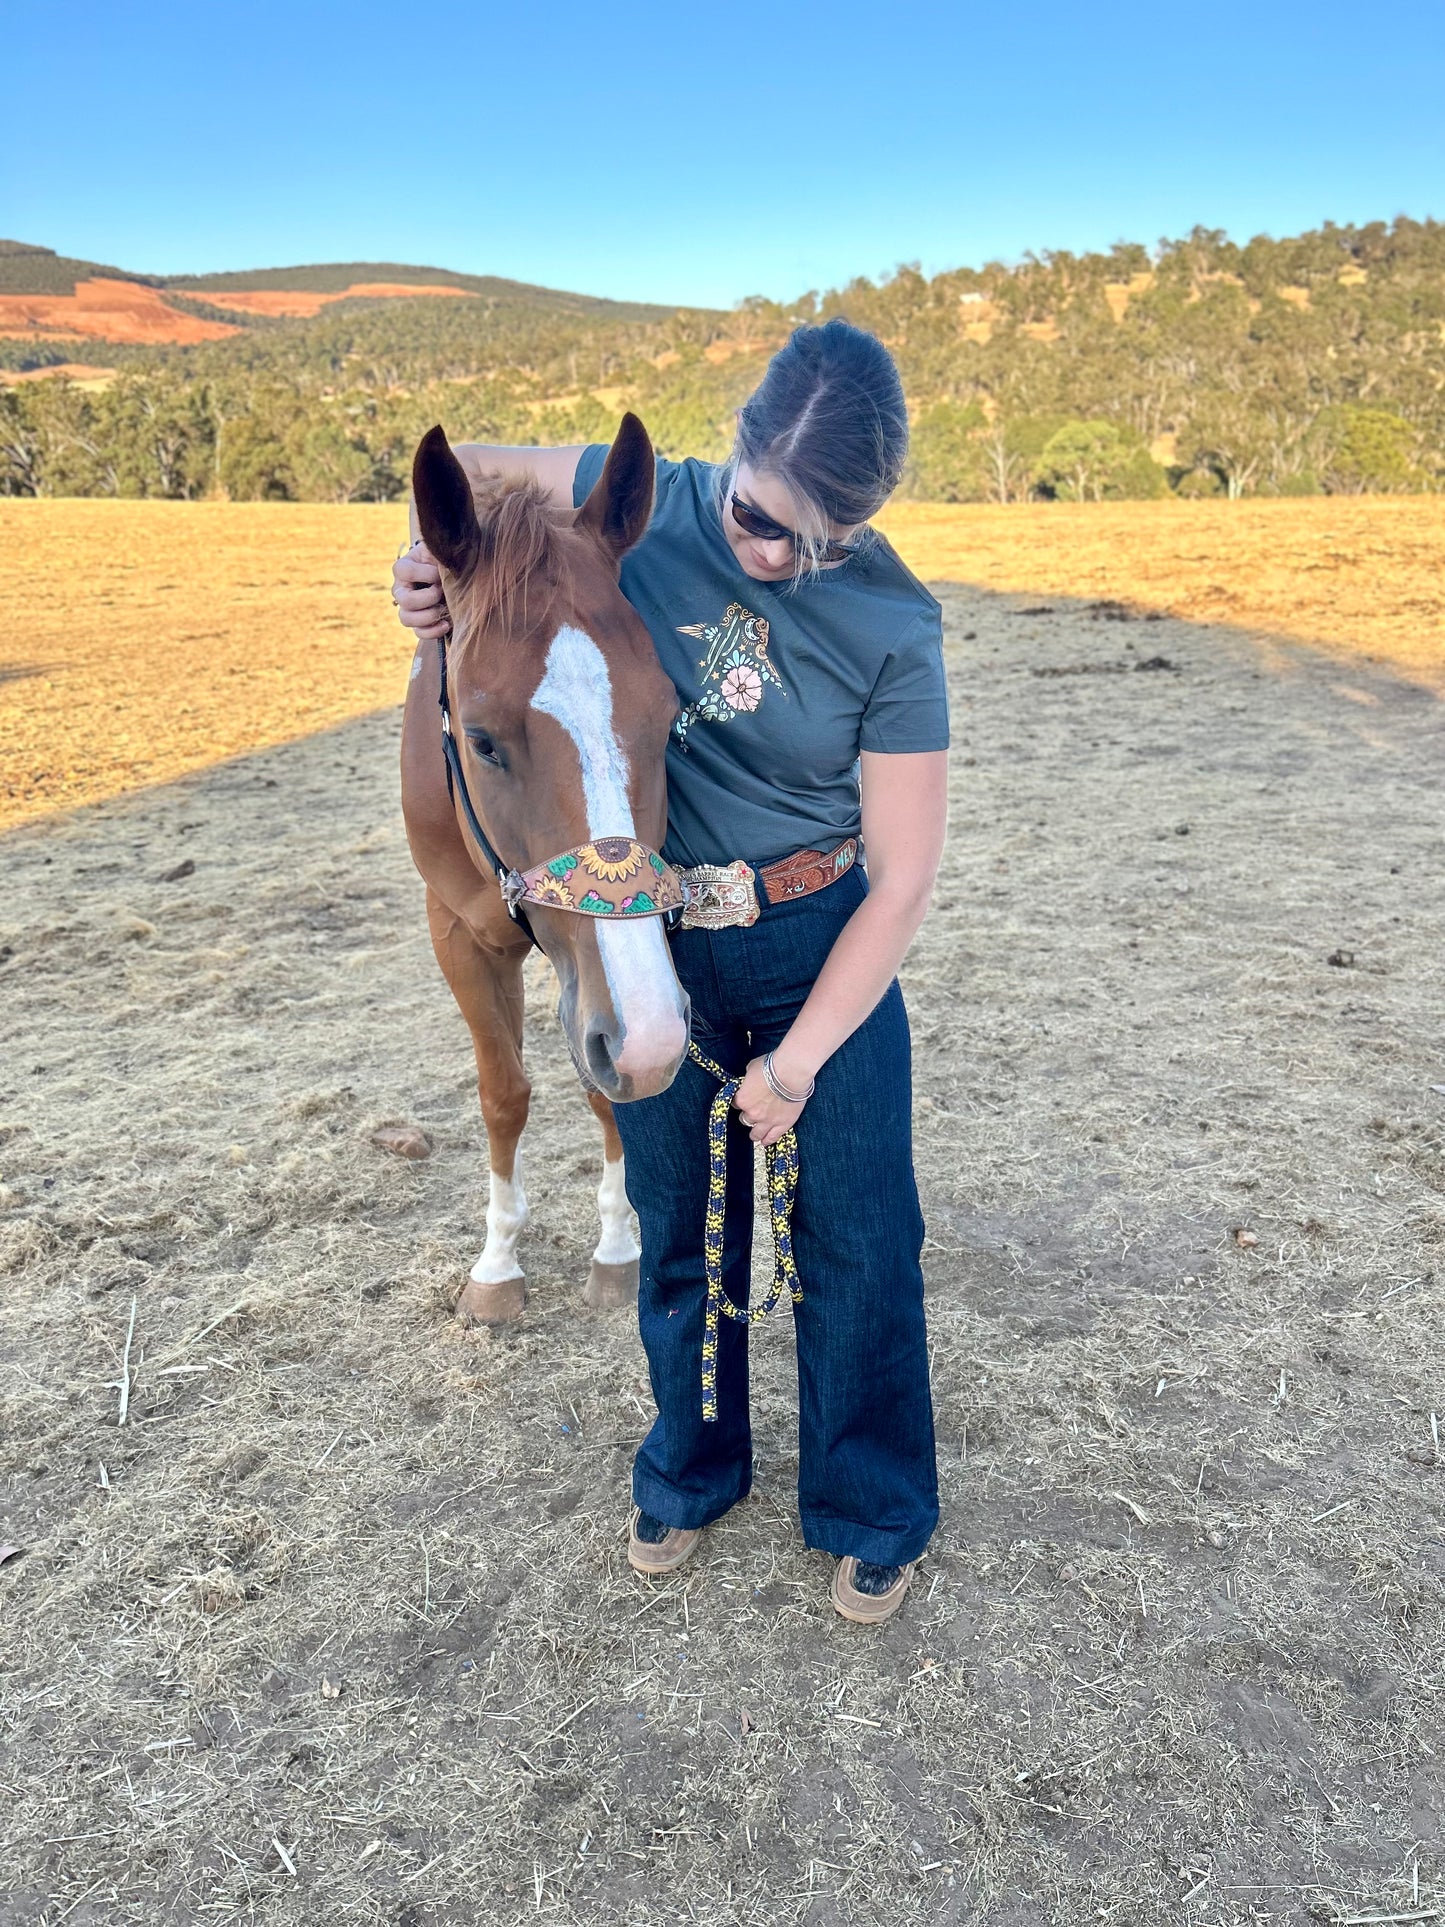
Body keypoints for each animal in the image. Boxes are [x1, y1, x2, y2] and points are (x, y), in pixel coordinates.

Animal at [396, 416, 689, 1325]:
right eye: (481, 740)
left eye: (668, 718)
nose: (650, 1038)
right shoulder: (455, 932)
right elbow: (504, 1093)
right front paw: (497, 1264)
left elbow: (605, 1089)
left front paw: (618, 1248)